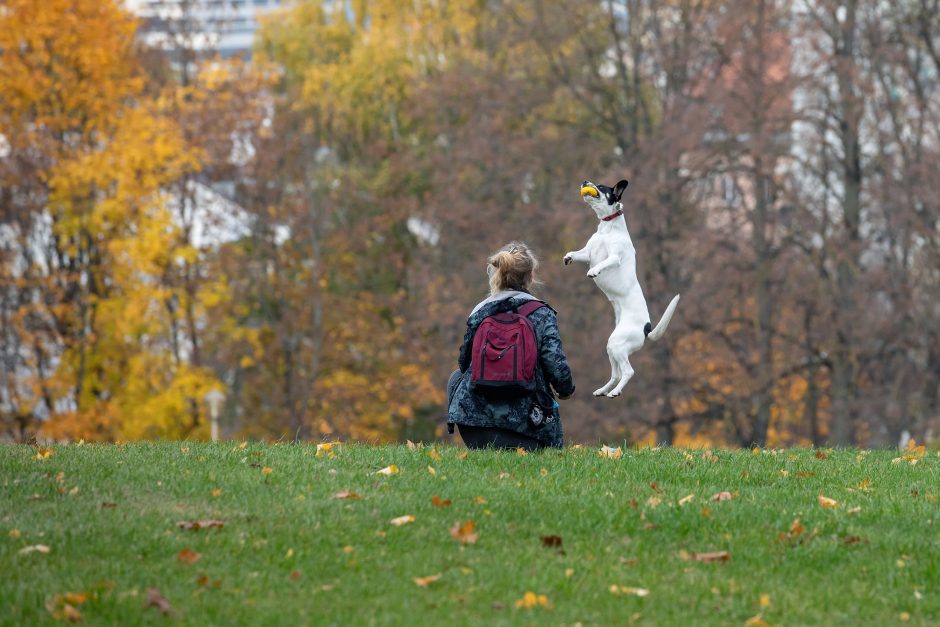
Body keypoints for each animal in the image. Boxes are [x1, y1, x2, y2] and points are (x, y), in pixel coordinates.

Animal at [560, 179, 680, 400]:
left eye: (601, 186)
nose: (585, 181)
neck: (607, 228)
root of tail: (646, 328)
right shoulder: (588, 253)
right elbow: (578, 253)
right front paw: (569, 257)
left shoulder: (614, 257)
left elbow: (604, 262)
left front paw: (594, 271)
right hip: (611, 346)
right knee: (616, 374)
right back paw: (603, 390)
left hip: (618, 343)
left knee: (628, 372)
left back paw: (615, 392)